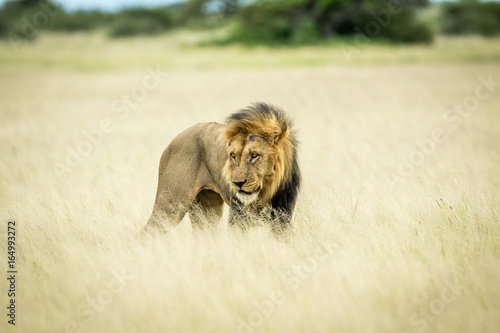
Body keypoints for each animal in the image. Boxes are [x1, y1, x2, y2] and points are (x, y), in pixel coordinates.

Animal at [145, 102, 300, 235]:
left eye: (254, 155)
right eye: (233, 155)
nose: (237, 183)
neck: (267, 190)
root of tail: (173, 141)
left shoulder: (283, 217)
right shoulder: (238, 216)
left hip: (207, 211)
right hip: (171, 203)